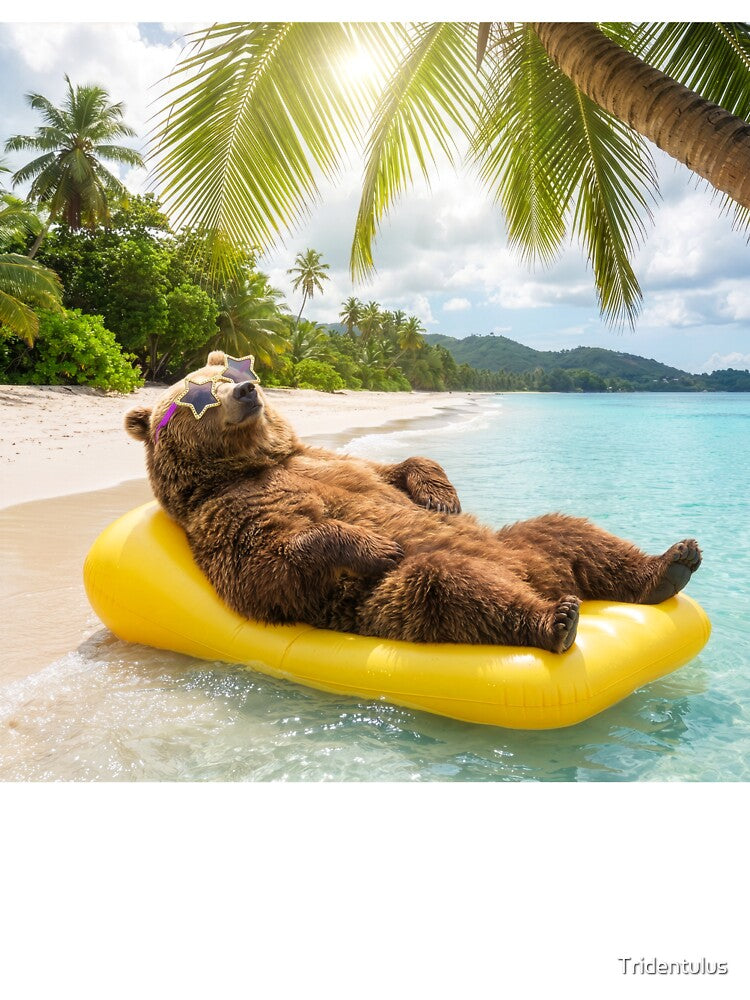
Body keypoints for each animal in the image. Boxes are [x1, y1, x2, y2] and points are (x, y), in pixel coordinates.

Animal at [125, 351, 702, 653]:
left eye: (233, 374)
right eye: (200, 395)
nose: (249, 393)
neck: (255, 461)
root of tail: (540, 577)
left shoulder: (330, 460)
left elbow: (394, 469)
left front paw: (440, 497)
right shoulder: (225, 513)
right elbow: (266, 570)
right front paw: (373, 543)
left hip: (532, 545)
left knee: (568, 531)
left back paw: (670, 564)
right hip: (391, 601)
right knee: (450, 584)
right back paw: (556, 621)